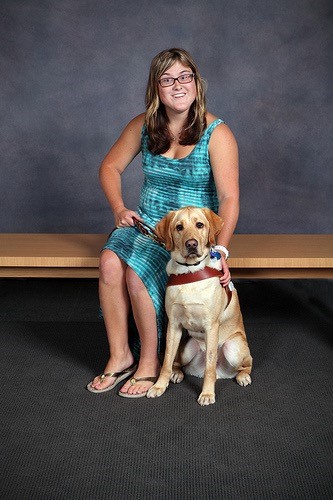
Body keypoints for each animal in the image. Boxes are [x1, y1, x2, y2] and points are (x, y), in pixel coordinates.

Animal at [147, 207, 253, 406]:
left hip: (233, 348)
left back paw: (243, 376)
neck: (189, 271)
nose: (191, 244)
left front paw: (207, 394)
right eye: (179, 227)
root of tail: (222, 373)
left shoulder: (211, 326)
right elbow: (166, 361)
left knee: (245, 364)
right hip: (187, 347)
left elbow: (209, 368)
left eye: (199, 225)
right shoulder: (173, 325)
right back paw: (177, 373)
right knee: (176, 362)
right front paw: (159, 386)